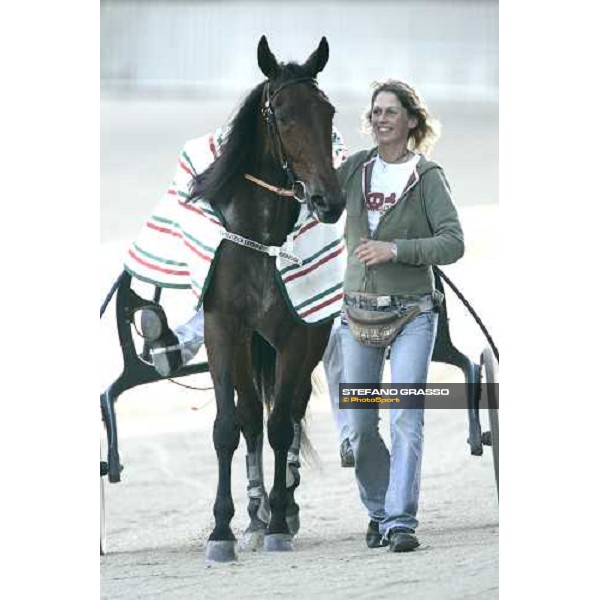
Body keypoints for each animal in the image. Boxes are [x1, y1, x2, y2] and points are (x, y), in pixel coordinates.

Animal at [190, 37, 344, 564]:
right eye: (281, 113)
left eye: (328, 112)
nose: (329, 201)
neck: (261, 240)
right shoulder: (222, 327)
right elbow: (228, 426)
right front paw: (222, 530)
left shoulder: (297, 334)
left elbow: (282, 424)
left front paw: (279, 520)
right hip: (246, 345)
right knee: (250, 416)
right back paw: (254, 512)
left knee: (290, 412)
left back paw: (283, 507)